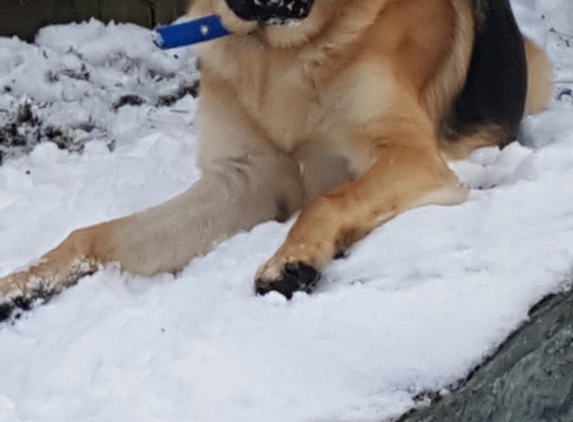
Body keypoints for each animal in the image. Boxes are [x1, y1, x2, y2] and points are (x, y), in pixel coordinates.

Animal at [1, 0, 556, 316]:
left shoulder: (412, 157)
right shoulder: (241, 183)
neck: (276, 51)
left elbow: (328, 200)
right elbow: (97, 234)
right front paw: (24, 282)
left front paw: (292, 259)